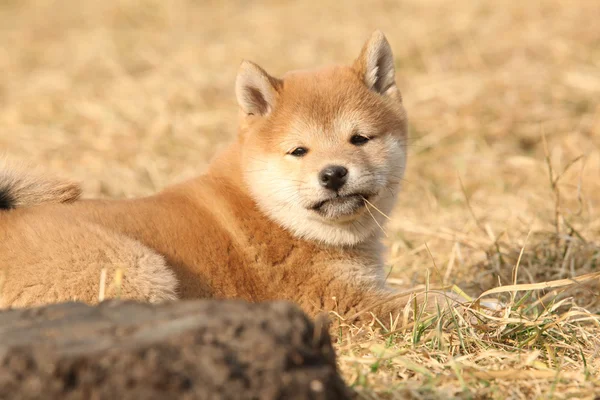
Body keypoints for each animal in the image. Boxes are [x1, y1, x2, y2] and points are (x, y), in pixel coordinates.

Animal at [0, 30, 460, 324]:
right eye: (299, 151)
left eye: (359, 139)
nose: (333, 174)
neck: (271, 212)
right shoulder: (339, 303)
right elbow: (430, 301)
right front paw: (466, 305)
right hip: (137, 267)